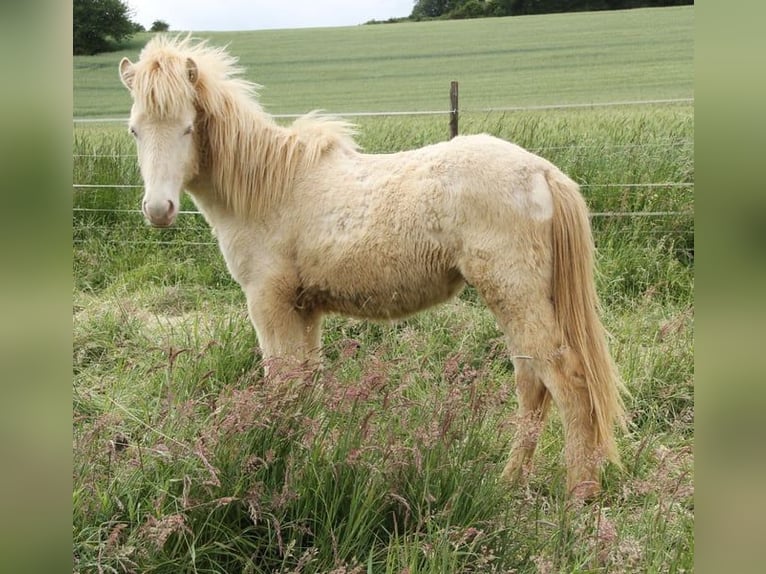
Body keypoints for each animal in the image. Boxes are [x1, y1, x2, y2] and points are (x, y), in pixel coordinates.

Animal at [119, 35, 626, 498]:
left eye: (187, 128)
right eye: (135, 131)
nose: (158, 210)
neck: (269, 187)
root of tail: (542, 172)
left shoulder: (268, 302)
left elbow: (280, 383)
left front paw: (276, 460)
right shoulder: (305, 309)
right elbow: (304, 386)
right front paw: (301, 455)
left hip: (515, 296)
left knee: (567, 383)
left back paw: (578, 500)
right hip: (516, 302)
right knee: (531, 384)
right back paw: (508, 483)